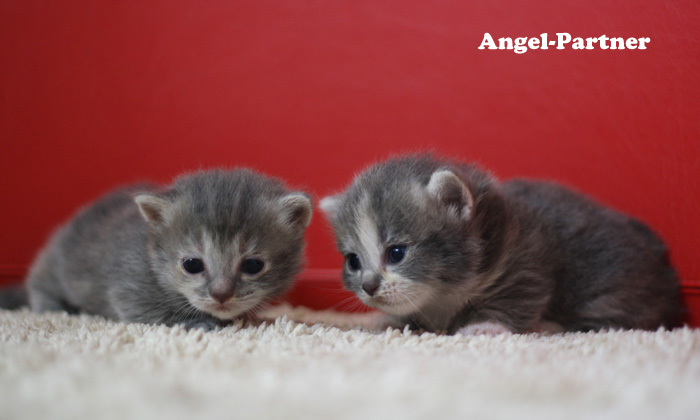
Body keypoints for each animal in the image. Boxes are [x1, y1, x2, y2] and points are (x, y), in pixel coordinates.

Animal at [18, 169, 312, 330]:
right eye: (192, 265)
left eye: (253, 266)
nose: (221, 294)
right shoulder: (130, 290)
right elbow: (157, 314)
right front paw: (198, 323)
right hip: (54, 265)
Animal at [322, 154, 684, 334]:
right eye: (353, 261)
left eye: (396, 253)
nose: (368, 286)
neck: (445, 292)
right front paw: (391, 321)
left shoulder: (524, 262)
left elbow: (518, 297)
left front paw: (486, 325)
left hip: (613, 291)